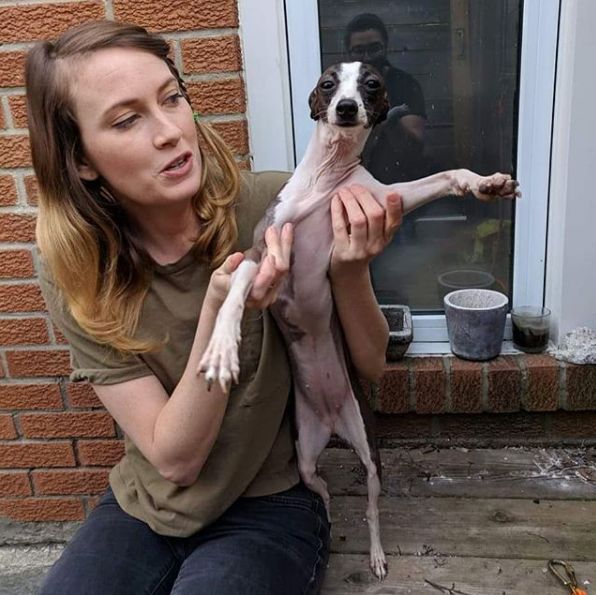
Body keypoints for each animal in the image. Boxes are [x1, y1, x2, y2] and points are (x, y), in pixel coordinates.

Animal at [199, 61, 519, 579]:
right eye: (328, 83)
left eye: (371, 84)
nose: (346, 108)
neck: (327, 179)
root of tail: (332, 422)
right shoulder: (263, 248)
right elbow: (239, 282)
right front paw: (221, 347)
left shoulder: (386, 198)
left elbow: (444, 175)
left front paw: (485, 183)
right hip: (305, 458)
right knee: (323, 491)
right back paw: (327, 520)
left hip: (369, 454)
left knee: (369, 508)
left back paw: (375, 554)